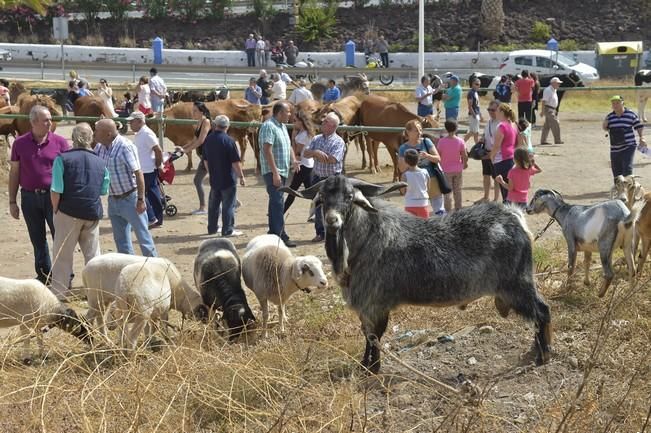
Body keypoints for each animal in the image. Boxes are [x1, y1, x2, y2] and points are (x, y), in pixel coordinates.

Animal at [282, 175, 552, 372]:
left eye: (349, 196)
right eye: (322, 199)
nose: (332, 221)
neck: (366, 239)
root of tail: (515, 218)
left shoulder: (375, 303)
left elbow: (375, 336)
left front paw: (374, 369)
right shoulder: (365, 308)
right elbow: (367, 335)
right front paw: (364, 365)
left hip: (517, 284)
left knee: (542, 311)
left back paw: (543, 355)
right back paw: (537, 351)